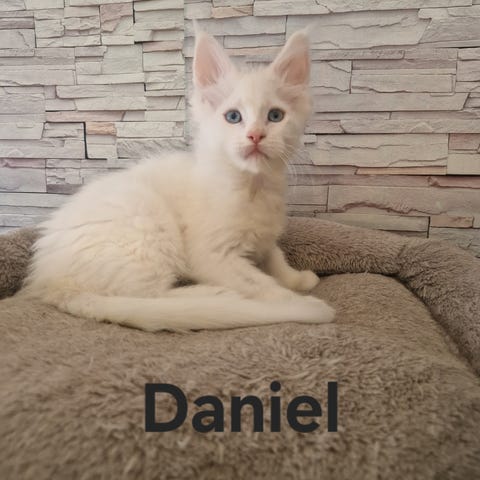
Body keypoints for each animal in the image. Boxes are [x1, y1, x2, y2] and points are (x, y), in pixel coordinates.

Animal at [20, 30, 335, 331]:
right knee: (148, 297)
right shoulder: (213, 256)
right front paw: (296, 301)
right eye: (233, 117)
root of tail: (50, 280)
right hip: (146, 224)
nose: (256, 135)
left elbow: (275, 257)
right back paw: (212, 296)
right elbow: (261, 284)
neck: (252, 187)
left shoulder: (265, 237)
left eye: (275, 116)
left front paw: (296, 279)